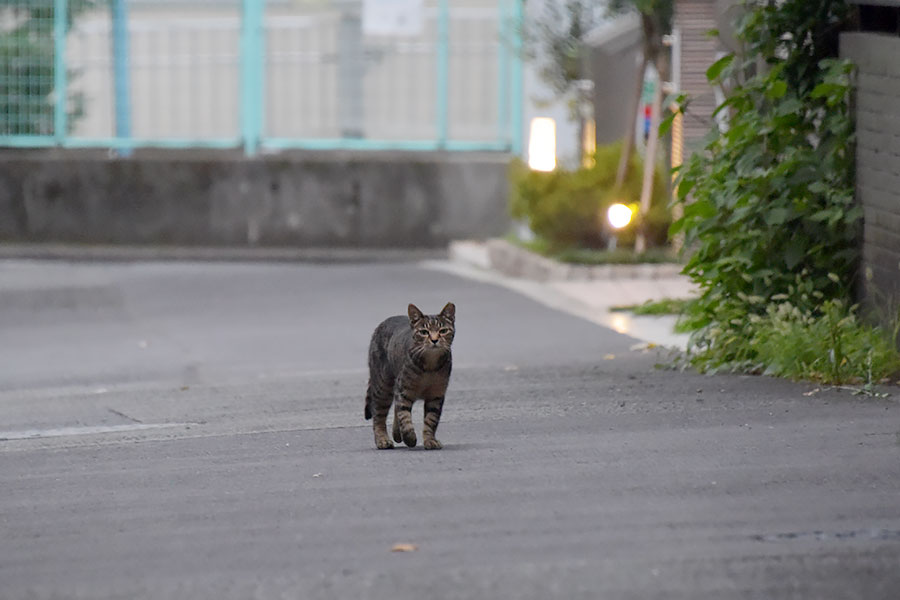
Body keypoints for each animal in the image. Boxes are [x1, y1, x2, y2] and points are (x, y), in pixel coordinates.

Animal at [362, 302, 454, 448]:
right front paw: (409, 437)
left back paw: (396, 433)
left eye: (443, 331)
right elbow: (404, 417)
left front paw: (430, 440)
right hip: (383, 387)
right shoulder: (403, 390)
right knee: (378, 415)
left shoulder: (436, 395)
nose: (434, 340)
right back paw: (382, 439)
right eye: (424, 332)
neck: (430, 365)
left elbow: (431, 420)